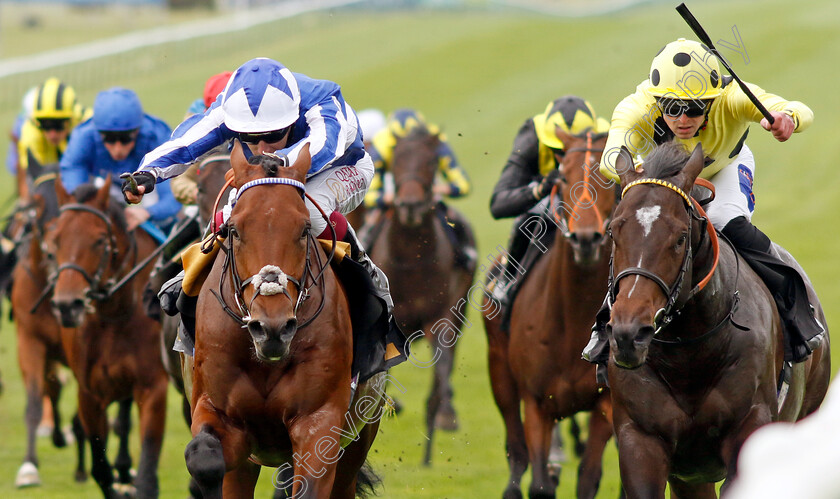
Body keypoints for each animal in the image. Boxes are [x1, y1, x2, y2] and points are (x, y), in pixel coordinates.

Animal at [44, 178, 169, 498]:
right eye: (55, 240)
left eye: (100, 240)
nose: (67, 305)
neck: (115, 314)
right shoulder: (89, 393)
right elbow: (100, 469)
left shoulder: (153, 388)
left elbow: (147, 476)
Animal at [366, 127, 476, 466]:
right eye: (395, 159)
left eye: (430, 162)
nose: (410, 205)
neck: (412, 257)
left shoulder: (440, 317)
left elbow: (440, 375)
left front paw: (431, 447)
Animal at [488, 131, 620, 498]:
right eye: (562, 178)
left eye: (612, 176)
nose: (586, 238)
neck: (572, 321)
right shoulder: (536, 403)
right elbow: (539, 486)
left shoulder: (605, 405)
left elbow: (588, 479)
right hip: (500, 373)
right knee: (516, 450)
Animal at [608, 143, 832, 498]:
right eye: (614, 231)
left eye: (680, 237)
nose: (630, 334)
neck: (687, 358)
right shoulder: (640, 441)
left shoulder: (748, 430)